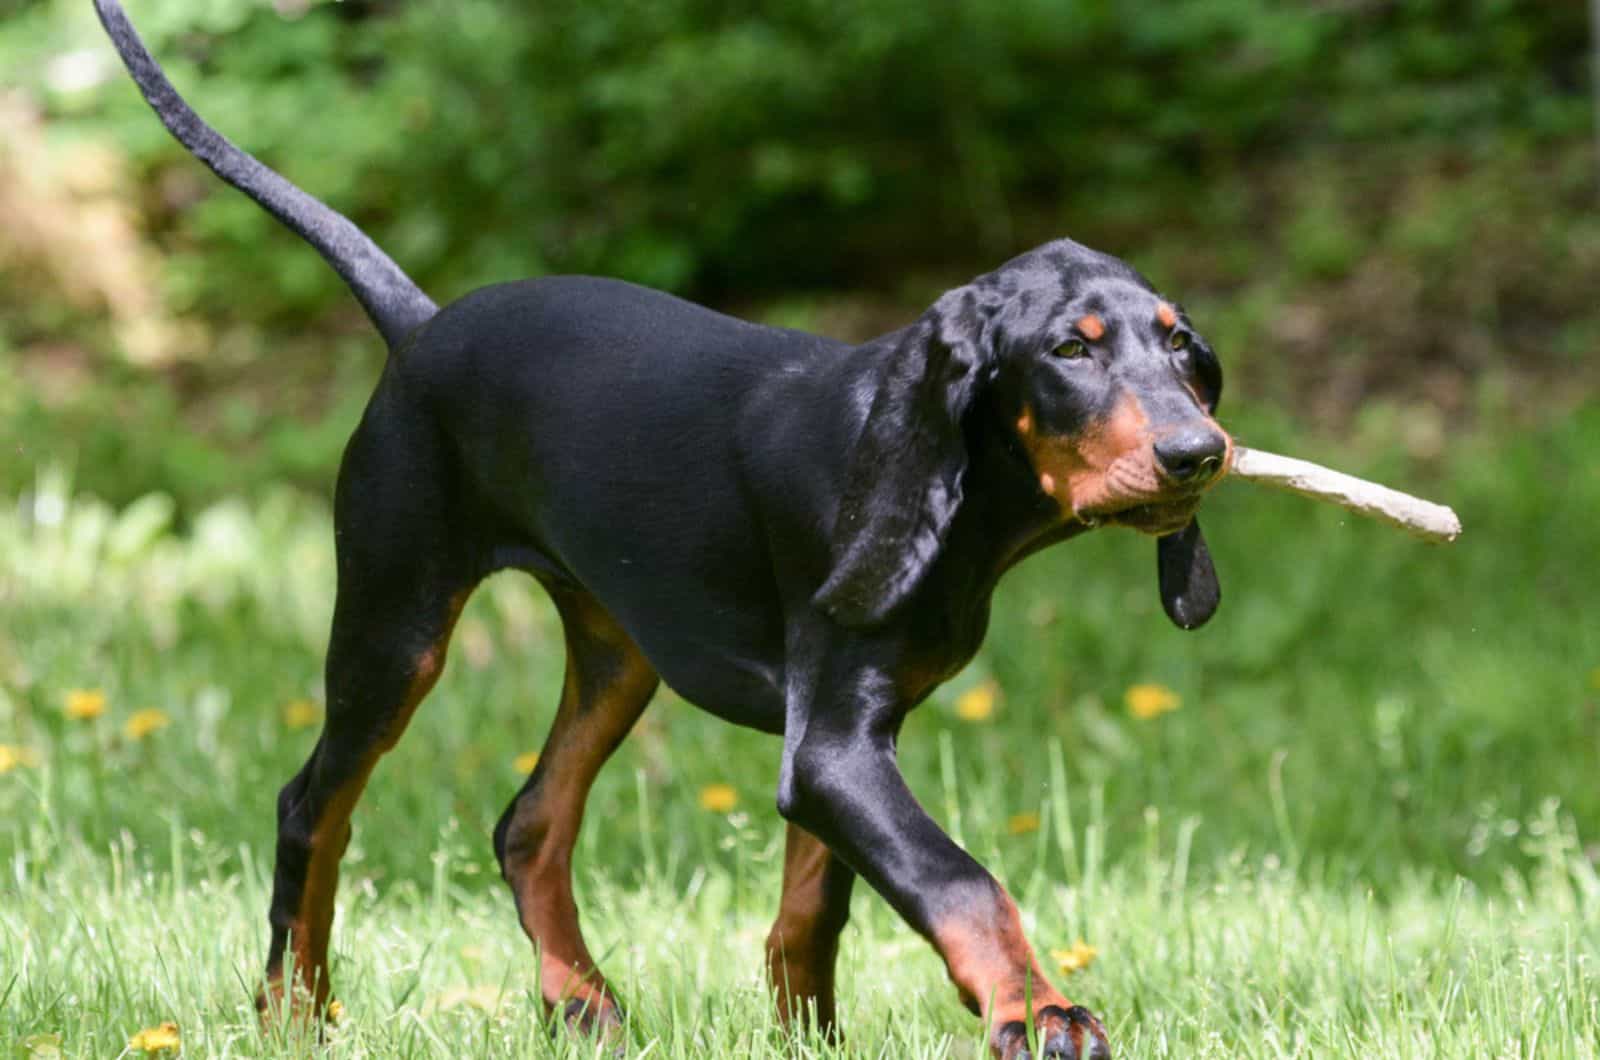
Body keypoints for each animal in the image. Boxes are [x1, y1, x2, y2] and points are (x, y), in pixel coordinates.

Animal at [96, 4, 1222, 1056]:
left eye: (1179, 347)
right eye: (1069, 350)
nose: (1198, 453)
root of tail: (419, 327)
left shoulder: (843, 739)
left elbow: (814, 907)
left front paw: (811, 1036)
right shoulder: (836, 747)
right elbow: (960, 880)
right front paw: (1039, 1012)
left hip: (616, 649)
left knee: (529, 823)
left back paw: (580, 1001)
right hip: (393, 620)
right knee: (311, 806)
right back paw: (294, 1011)